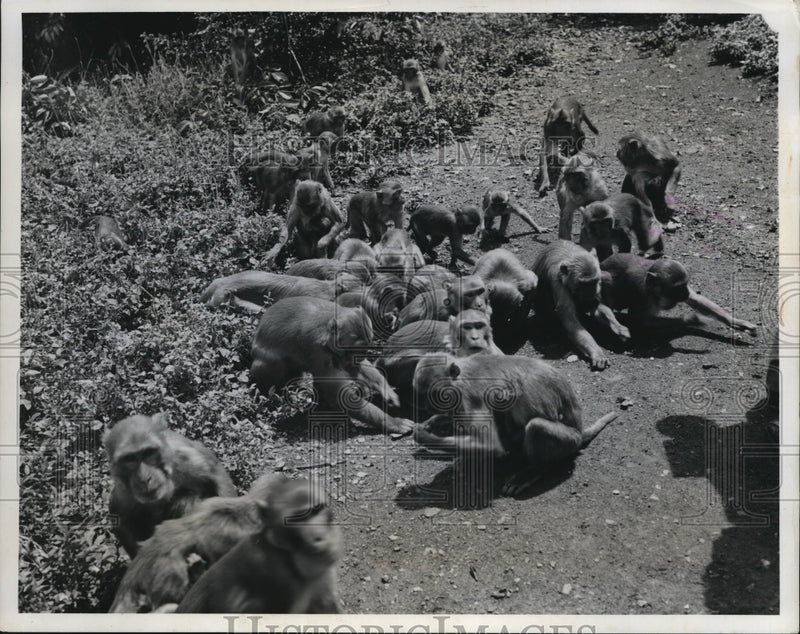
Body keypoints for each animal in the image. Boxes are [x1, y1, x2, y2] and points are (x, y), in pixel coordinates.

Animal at [104, 414, 236, 558]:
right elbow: (120, 518)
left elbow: (216, 475)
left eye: (148, 452)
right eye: (129, 458)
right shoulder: (123, 491)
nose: (144, 479)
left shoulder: (186, 457)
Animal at [250, 297, 413, 434]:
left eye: (365, 346)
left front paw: (385, 389)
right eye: (355, 348)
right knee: (274, 365)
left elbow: (358, 368)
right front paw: (393, 422)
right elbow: (337, 393)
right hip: (268, 363)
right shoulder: (317, 351)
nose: (360, 355)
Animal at [412, 354, 619, 496]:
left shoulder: (470, 397)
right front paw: (432, 422)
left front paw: (423, 436)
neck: (460, 377)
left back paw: (533, 470)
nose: (426, 407)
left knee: (535, 426)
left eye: (434, 395)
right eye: (421, 396)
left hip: (569, 441)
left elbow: (490, 445)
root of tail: (580, 430)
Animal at [532, 240, 630, 371]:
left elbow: (596, 306)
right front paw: (597, 353)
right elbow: (570, 320)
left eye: (593, 282)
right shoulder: (556, 280)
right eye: (583, 284)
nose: (590, 291)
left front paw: (618, 327)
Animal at [599, 253, 758, 336]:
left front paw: (735, 321)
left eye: (685, 285)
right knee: (605, 278)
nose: (685, 292)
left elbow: (696, 300)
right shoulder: (642, 296)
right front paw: (691, 320)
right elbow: (640, 321)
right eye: (678, 288)